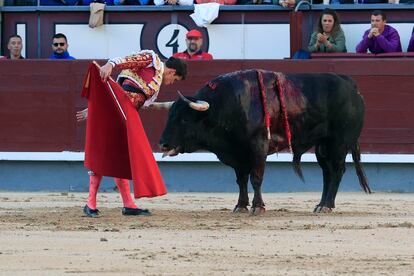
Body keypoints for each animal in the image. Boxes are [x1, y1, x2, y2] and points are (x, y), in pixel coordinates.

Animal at [158, 69, 372, 213]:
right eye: (170, 116)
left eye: (185, 119)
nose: (163, 143)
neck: (226, 106)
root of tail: (351, 84)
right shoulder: (238, 153)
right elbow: (241, 180)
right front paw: (240, 206)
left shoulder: (258, 147)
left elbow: (256, 178)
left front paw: (258, 207)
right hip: (323, 145)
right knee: (326, 172)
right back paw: (320, 205)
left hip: (339, 143)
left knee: (337, 171)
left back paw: (327, 205)